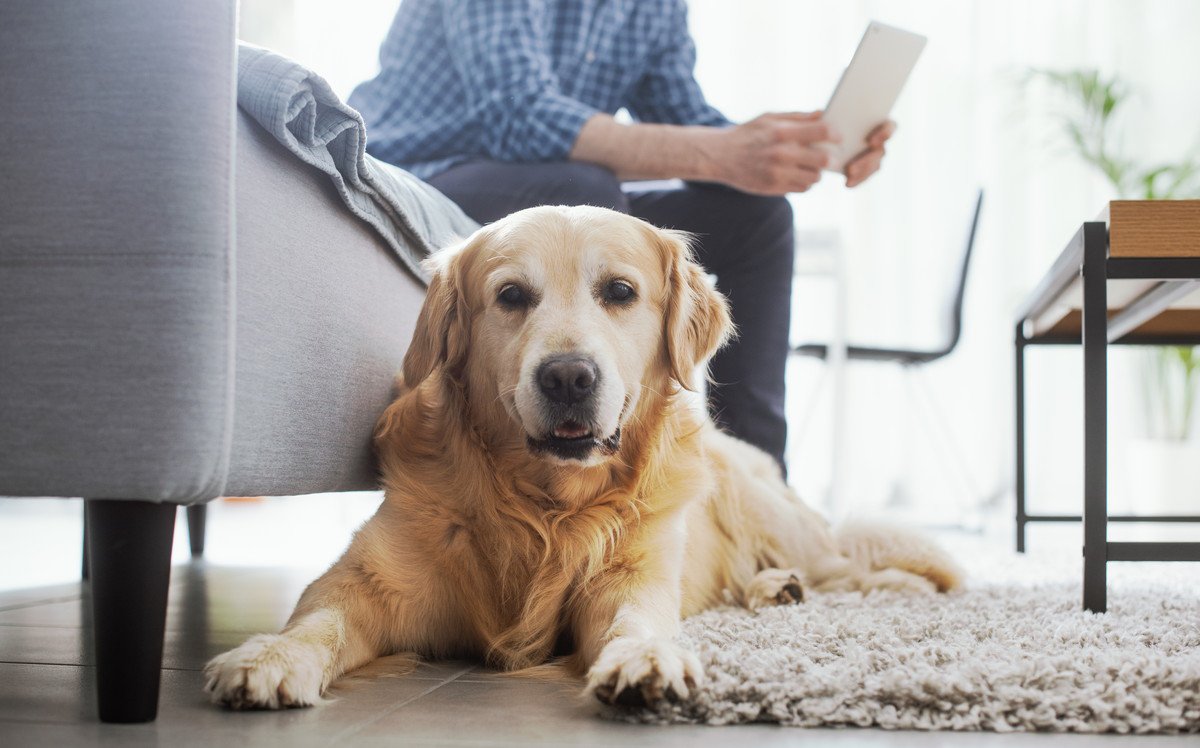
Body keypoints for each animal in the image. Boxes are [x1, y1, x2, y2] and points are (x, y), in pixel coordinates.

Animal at [201, 202, 960, 705]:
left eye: (619, 292)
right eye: (511, 295)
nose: (568, 376)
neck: (544, 505)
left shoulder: (630, 575)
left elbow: (636, 619)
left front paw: (650, 659)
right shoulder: (367, 581)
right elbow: (318, 620)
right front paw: (269, 657)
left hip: (770, 515)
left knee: (848, 564)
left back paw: (878, 588)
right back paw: (773, 590)